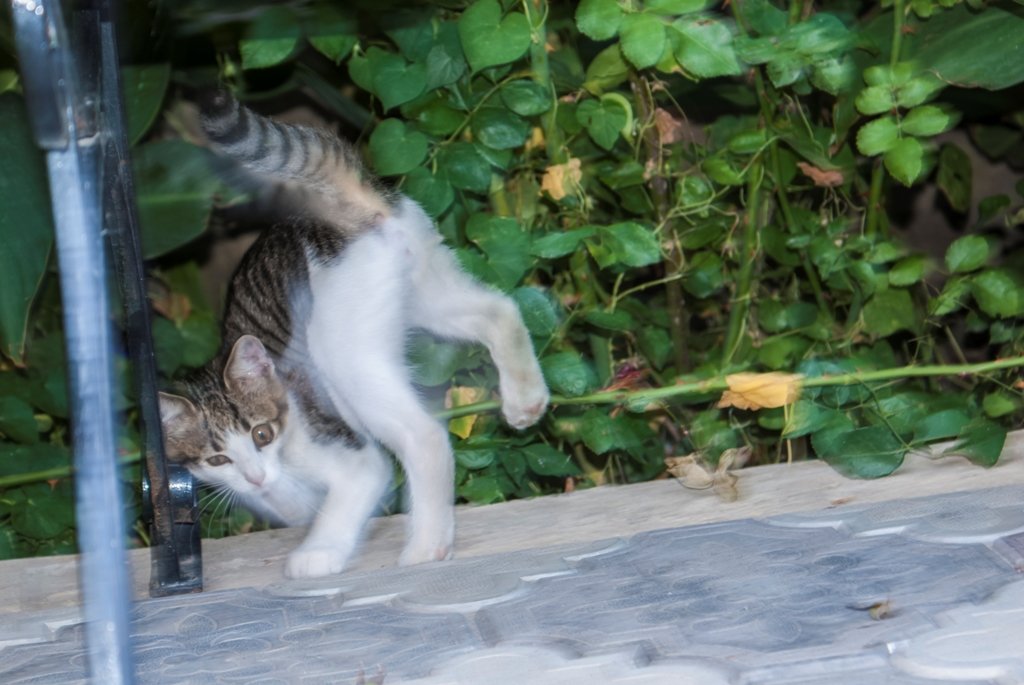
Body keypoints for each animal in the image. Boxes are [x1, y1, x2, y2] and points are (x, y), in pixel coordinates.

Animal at [155, 90, 548, 577]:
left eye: (261, 435)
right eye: (217, 458)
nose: (254, 475)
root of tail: (335, 208)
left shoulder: (348, 453)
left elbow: (355, 487)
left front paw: (318, 553)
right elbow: (294, 504)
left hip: (343, 349)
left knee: (424, 435)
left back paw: (427, 544)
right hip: (424, 289)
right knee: (500, 309)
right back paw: (525, 398)